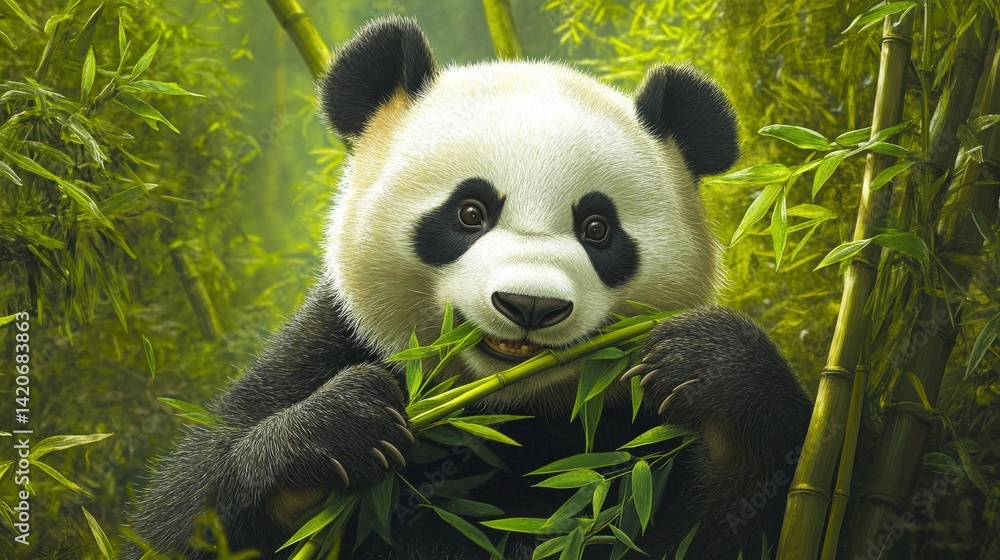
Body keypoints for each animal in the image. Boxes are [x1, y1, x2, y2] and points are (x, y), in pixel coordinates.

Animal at [131, 16, 812, 560]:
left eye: (597, 228)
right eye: (469, 212)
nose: (530, 305)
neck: (505, 413)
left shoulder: (625, 442)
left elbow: (728, 520)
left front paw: (708, 364)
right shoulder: (327, 345)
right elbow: (183, 512)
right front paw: (338, 428)